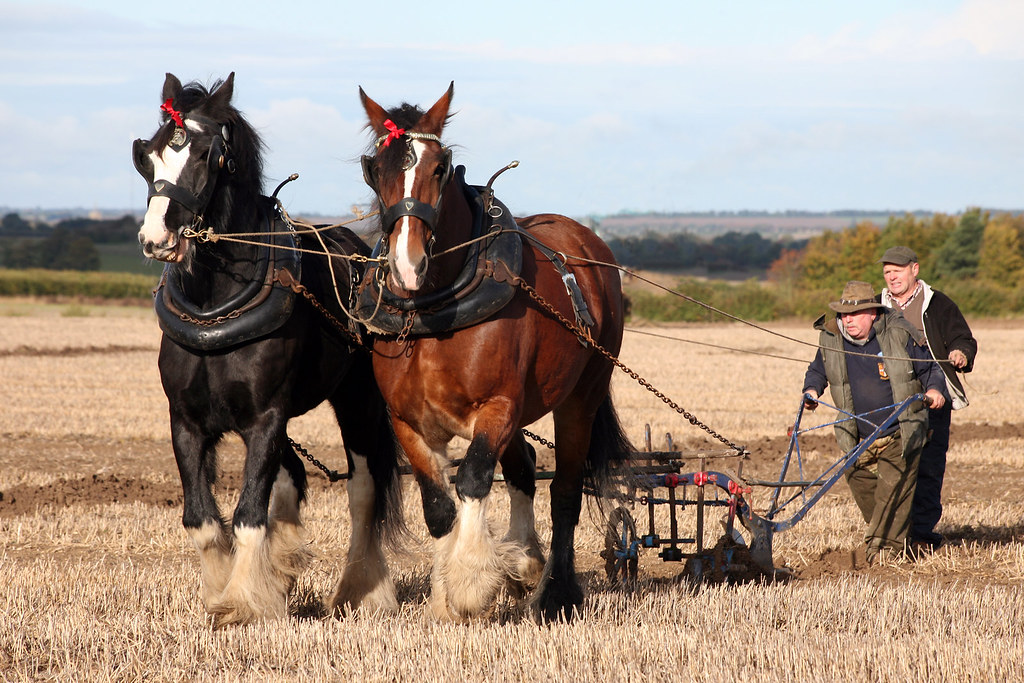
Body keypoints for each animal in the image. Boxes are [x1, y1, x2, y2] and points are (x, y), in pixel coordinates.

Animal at [133, 72, 402, 627]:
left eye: (207, 155)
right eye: (147, 155)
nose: (156, 238)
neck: (215, 303)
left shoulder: (265, 417)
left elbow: (249, 513)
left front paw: (242, 602)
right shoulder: (187, 420)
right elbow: (203, 518)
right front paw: (226, 591)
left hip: (358, 401)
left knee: (363, 489)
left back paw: (360, 590)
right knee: (291, 476)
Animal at [357, 83, 633, 621]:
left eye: (439, 167)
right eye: (375, 169)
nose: (407, 264)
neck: (435, 310)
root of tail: (587, 241)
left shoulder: (498, 406)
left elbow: (473, 478)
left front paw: (469, 583)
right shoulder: (406, 419)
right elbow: (438, 504)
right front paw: (444, 598)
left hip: (581, 397)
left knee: (565, 491)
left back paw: (557, 592)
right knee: (523, 465)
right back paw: (526, 560)